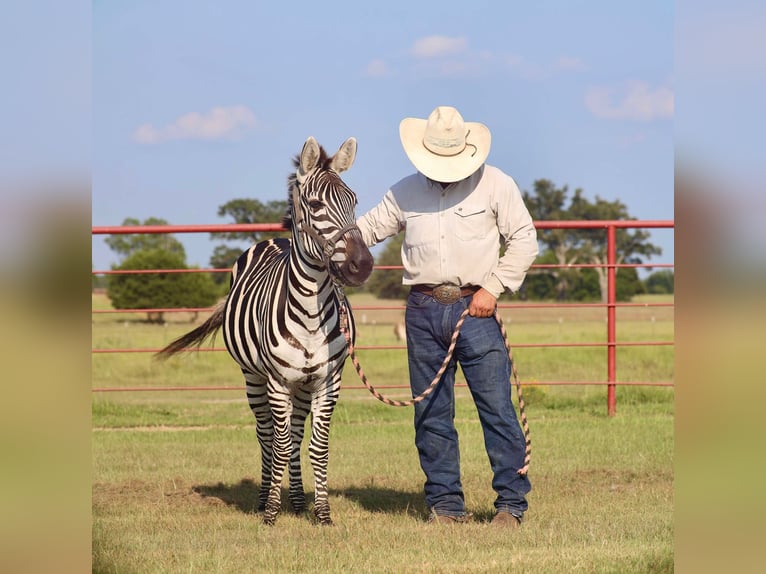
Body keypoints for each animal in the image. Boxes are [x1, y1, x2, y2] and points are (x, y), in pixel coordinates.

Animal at [158, 138, 374, 528]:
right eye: (316, 205)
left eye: (354, 201)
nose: (362, 265)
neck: (310, 315)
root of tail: (273, 240)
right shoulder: (276, 380)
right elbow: (280, 443)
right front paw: (272, 512)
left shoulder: (328, 382)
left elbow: (317, 447)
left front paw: (321, 513)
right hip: (253, 377)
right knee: (266, 435)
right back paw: (264, 499)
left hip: (302, 385)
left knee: (295, 433)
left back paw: (298, 501)